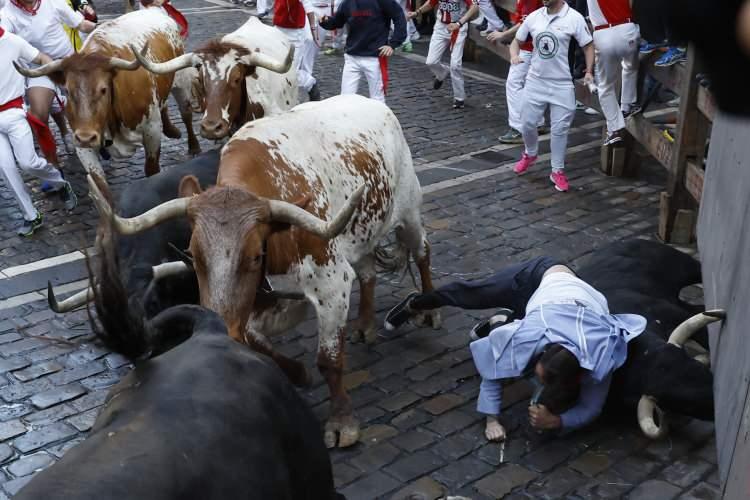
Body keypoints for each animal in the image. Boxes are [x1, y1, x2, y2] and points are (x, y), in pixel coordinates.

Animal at [15, 8, 197, 178]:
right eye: (67, 90)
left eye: (103, 89)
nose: (86, 138)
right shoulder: (82, 142)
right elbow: (99, 184)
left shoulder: (151, 131)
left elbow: (152, 170)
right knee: (164, 104)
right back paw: (172, 130)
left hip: (181, 80)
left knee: (186, 114)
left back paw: (193, 146)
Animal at [87, 94, 440, 450]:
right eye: (193, 256)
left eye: (255, 257)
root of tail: (373, 102)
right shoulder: (260, 302)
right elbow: (255, 341)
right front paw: (298, 374)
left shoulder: (331, 284)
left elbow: (329, 360)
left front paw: (342, 423)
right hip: (361, 234)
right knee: (368, 273)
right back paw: (365, 325)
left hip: (409, 212)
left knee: (423, 253)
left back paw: (429, 310)